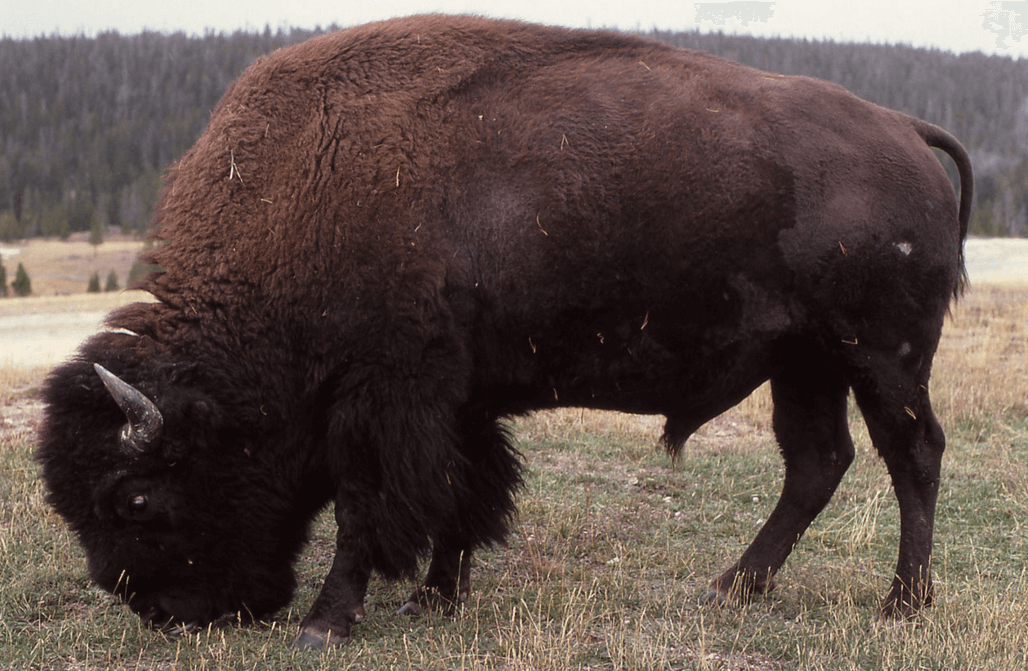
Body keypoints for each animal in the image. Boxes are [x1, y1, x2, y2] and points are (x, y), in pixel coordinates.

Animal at [38, 14, 970, 649]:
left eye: (134, 496)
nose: (161, 612)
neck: (305, 191)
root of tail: (905, 129)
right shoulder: (459, 399)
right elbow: (464, 490)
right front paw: (433, 597)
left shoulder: (384, 398)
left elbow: (368, 503)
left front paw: (328, 621)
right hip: (804, 359)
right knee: (818, 462)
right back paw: (731, 589)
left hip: (882, 354)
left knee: (912, 454)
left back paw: (902, 603)